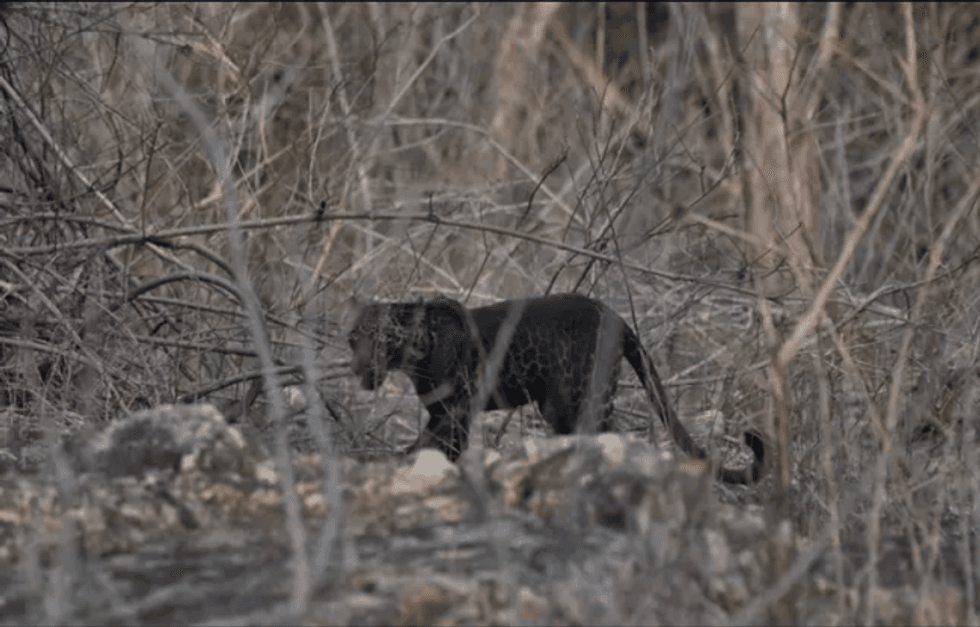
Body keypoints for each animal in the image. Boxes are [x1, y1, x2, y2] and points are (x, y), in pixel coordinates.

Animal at [347, 293, 764, 484]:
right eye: (352, 339)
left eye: (374, 337)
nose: (356, 366)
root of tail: (615, 315)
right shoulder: (443, 411)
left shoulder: (454, 411)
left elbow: (432, 445)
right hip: (561, 407)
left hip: (580, 399)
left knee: (608, 435)